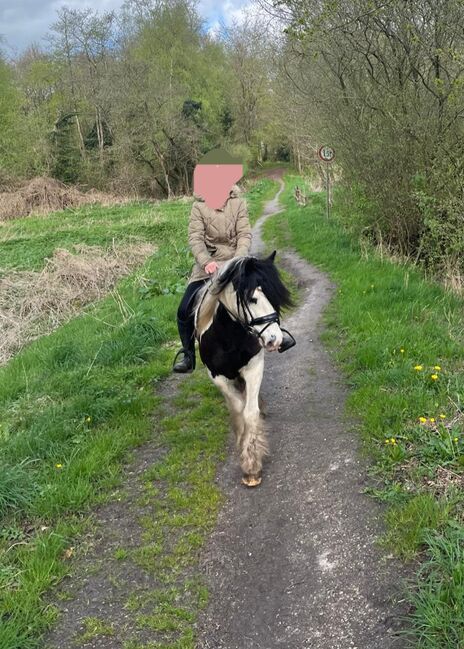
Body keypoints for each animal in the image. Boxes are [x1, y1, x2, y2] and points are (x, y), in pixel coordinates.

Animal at [193, 252, 294, 486]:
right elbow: (238, 409)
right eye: (251, 299)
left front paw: (251, 466)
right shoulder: (217, 377)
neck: (228, 338)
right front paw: (242, 442)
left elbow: (249, 412)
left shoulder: (254, 366)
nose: (275, 340)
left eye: (274, 296)